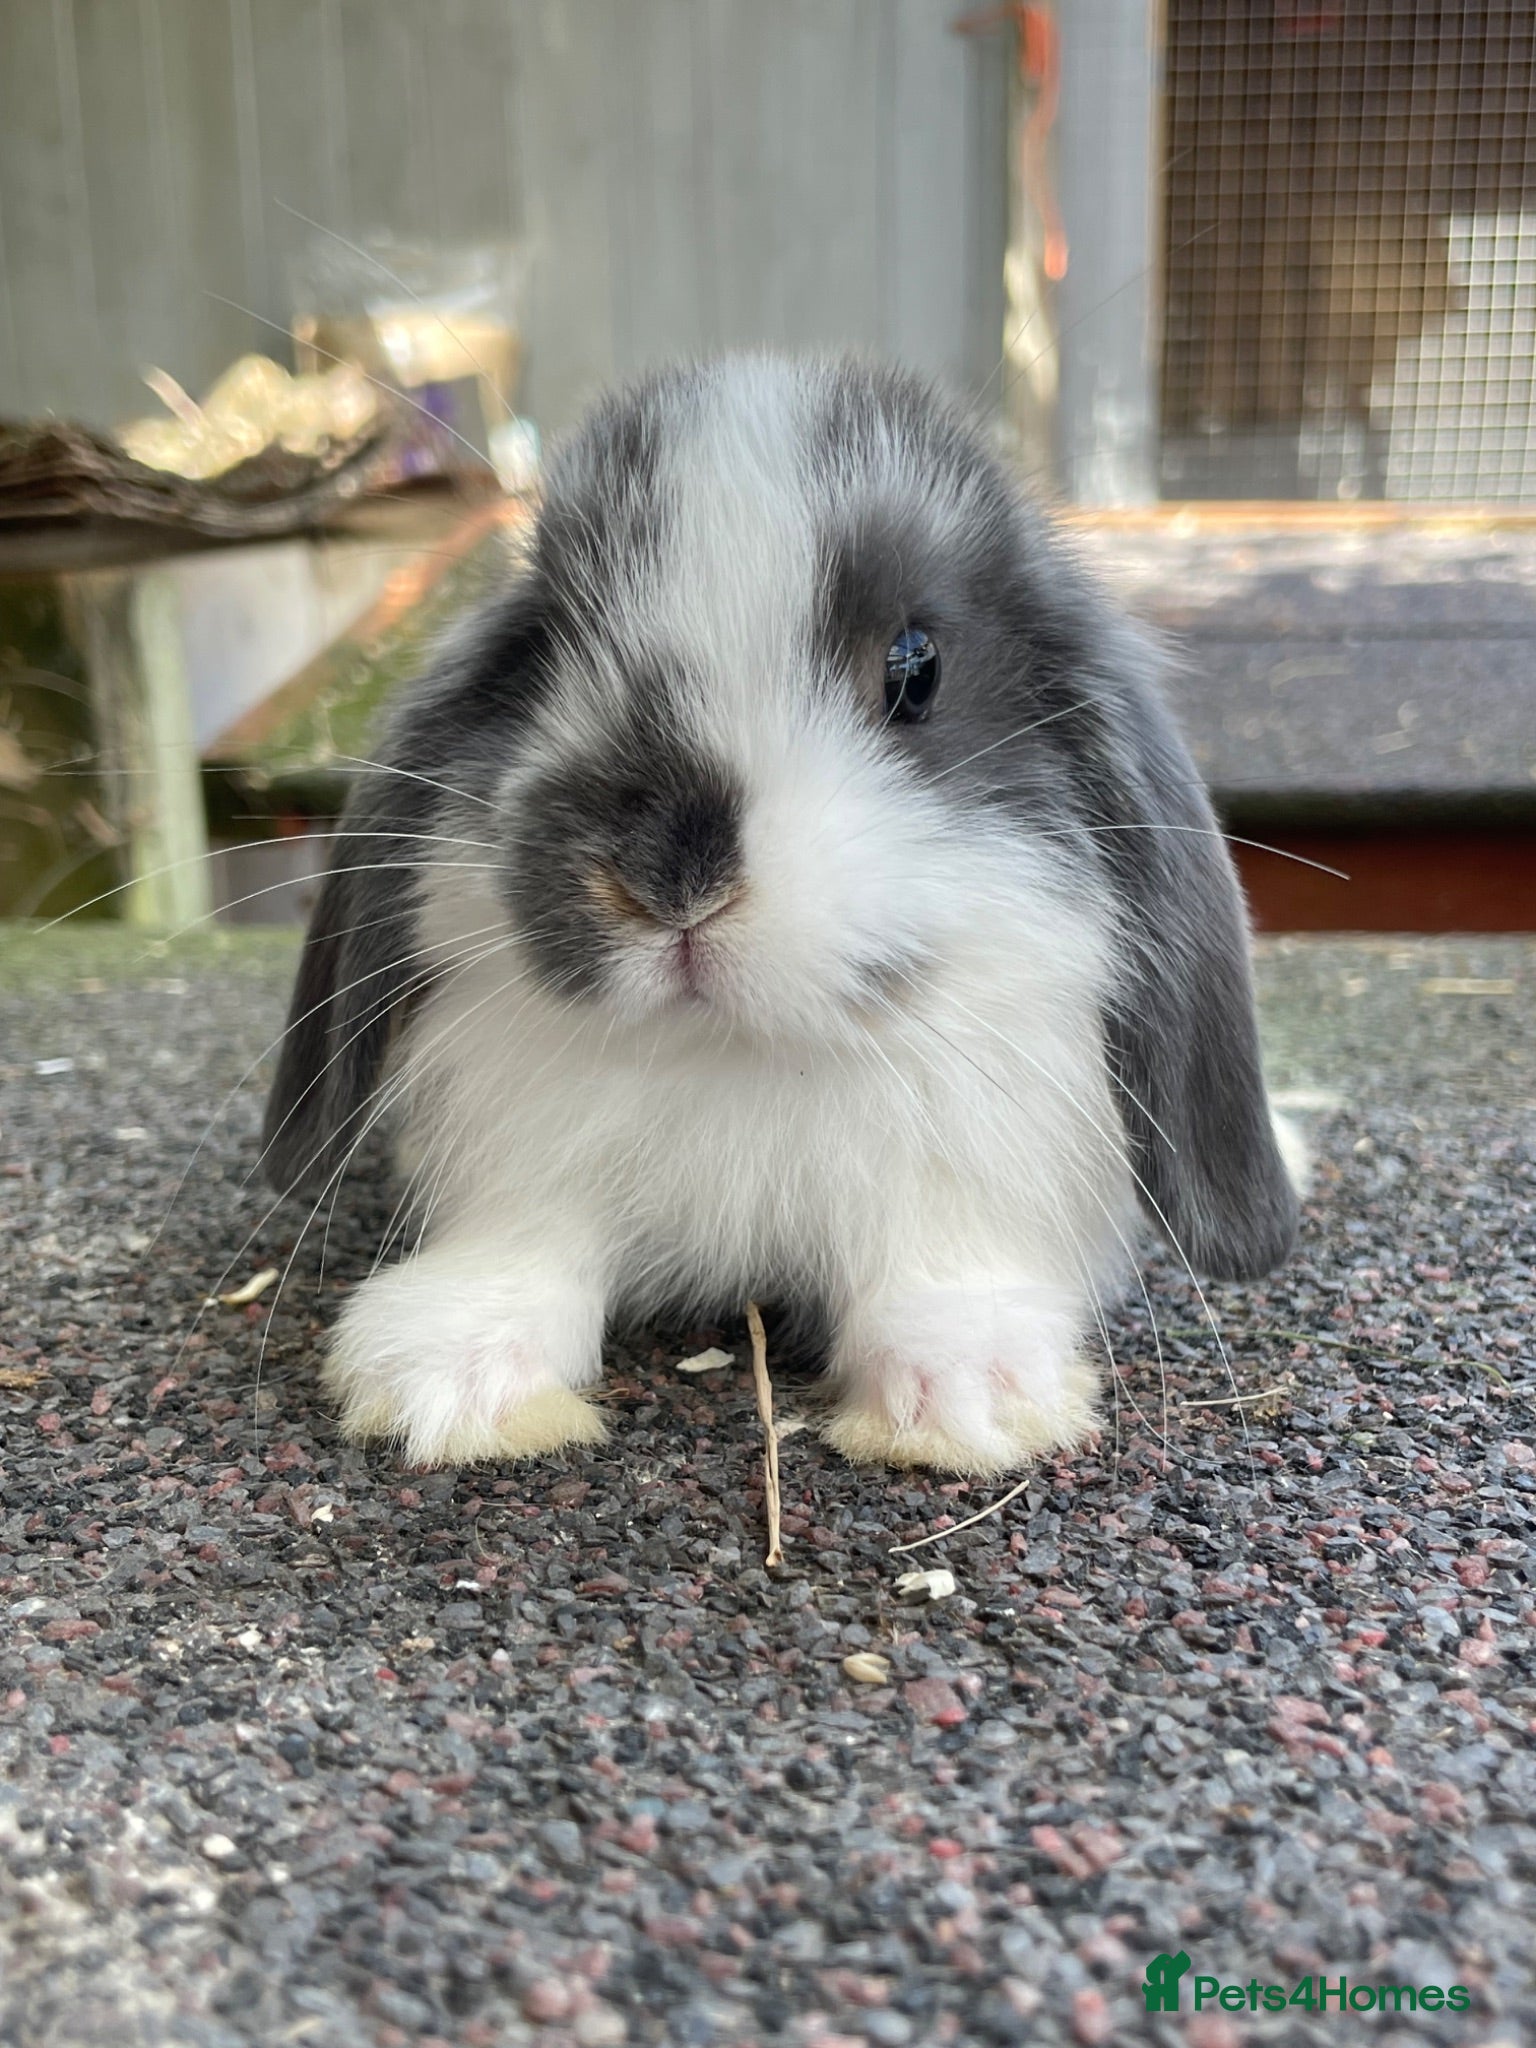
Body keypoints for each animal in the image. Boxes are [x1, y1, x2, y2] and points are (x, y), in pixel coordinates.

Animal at [262, 354, 1298, 1476]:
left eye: (915, 666)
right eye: (541, 650)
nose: (670, 873)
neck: (743, 1059)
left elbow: (932, 1265)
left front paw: (968, 1394)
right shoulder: (529, 1160)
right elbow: (526, 1249)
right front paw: (450, 1378)